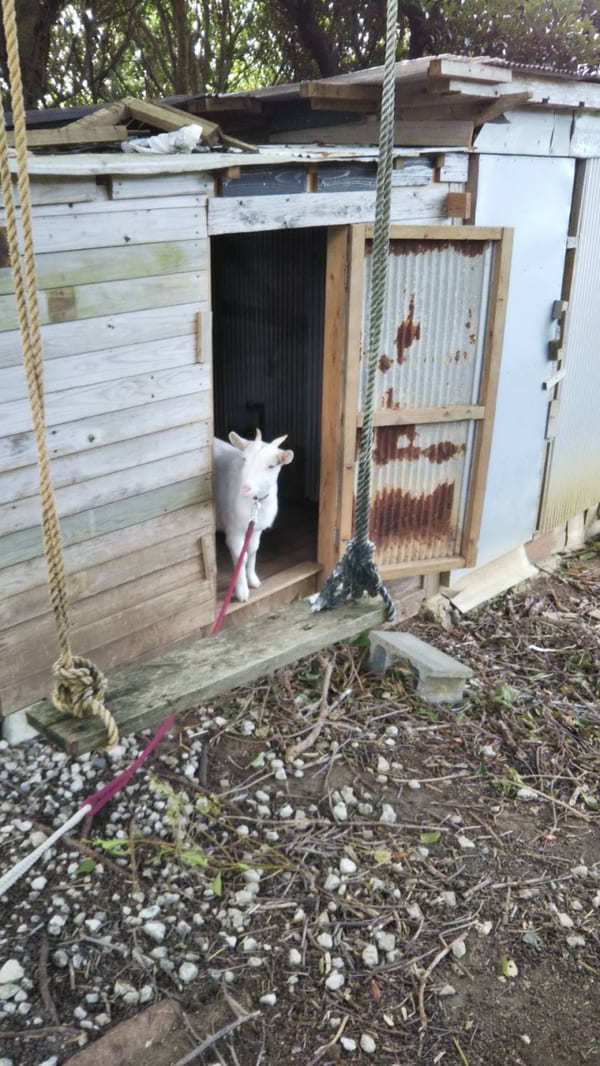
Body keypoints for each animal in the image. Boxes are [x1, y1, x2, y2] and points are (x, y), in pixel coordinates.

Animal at [215, 430, 294, 601]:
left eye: (271, 466)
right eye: (244, 459)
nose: (245, 489)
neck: (255, 503)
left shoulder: (256, 528)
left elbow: (252, 550)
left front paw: (253, 579)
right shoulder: (234, 529)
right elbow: (241, 556)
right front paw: (242, 591)